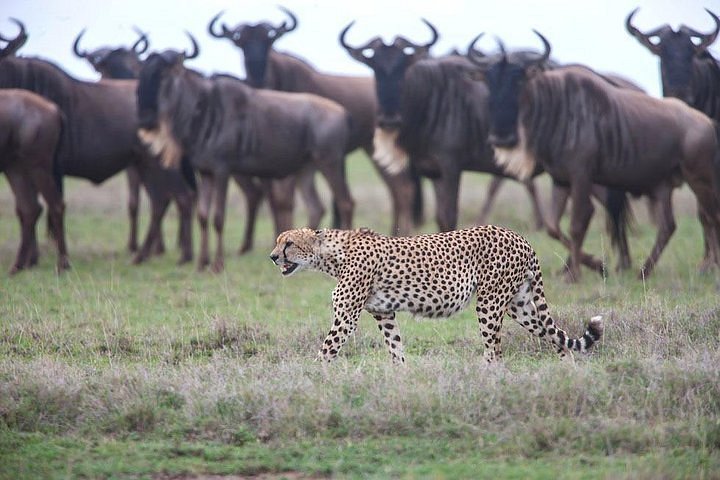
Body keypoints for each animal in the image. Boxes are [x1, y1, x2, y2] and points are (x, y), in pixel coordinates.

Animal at [270, 227, 600, 362]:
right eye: (278, 242)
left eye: (288, 243)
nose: (272, 257)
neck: (331, 254)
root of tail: (519, 237)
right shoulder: (384, 313)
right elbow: (396, 350)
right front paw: (401, 384)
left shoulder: (346, 316)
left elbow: (325, 352)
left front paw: (311, 382)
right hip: (519, 304)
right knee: (557, 339)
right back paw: (566, 376)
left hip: (490, 303)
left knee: (495, 351)